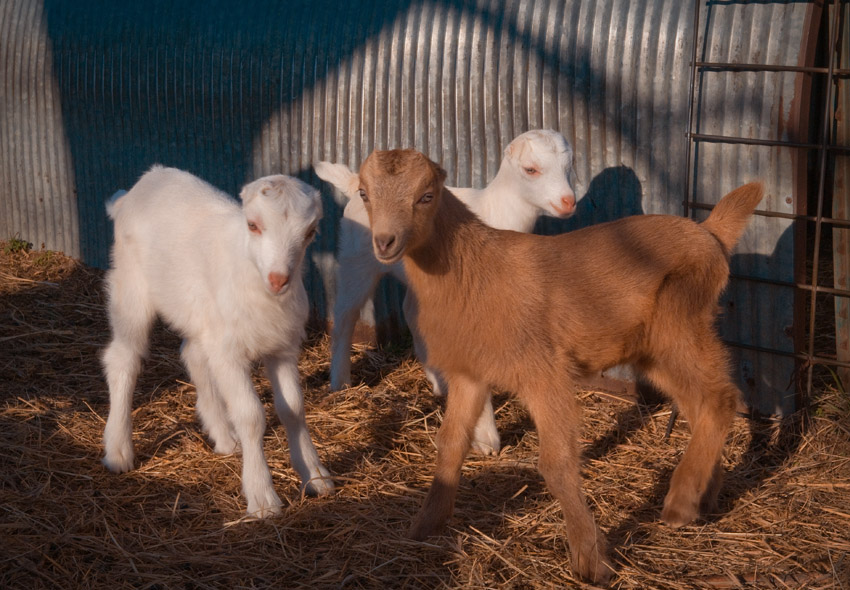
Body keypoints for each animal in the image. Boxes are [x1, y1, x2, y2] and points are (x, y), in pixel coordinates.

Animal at [101, 166, 332, 520]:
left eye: (310, 232)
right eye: (253, 225)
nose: (278, 279)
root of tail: (140, 185)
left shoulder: (282, 347)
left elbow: (293, 409)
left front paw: (315, 476)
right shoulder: (230, 354)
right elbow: (251, 415)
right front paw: (262, 498)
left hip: (201, 316)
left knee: (193, 354)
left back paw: (224, 438)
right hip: (130, 286)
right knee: (123, 359)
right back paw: (118, 450)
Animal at [316, 131, 576, 458]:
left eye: (569, 165)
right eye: (531, 169)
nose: (568, 202)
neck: (495, 212)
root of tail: (355, 184)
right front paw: (485, 439)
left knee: (410, 311)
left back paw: (439, 382)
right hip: (357, 259)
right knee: (345, 315)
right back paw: (340, 382)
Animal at [352, 149, 760, 588]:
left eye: (427, 195)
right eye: (364, 193)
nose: (385, 242)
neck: (474, 269)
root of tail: (711, 233)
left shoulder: (543, 373)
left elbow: (557, 463)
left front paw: (591, 561)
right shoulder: (470, 374)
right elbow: (450, 444)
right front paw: (424, 526)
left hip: (679, 321)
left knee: (720, 398)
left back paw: (681, 502)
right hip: (655, 349)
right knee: (700, 405)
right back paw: (705, 495)